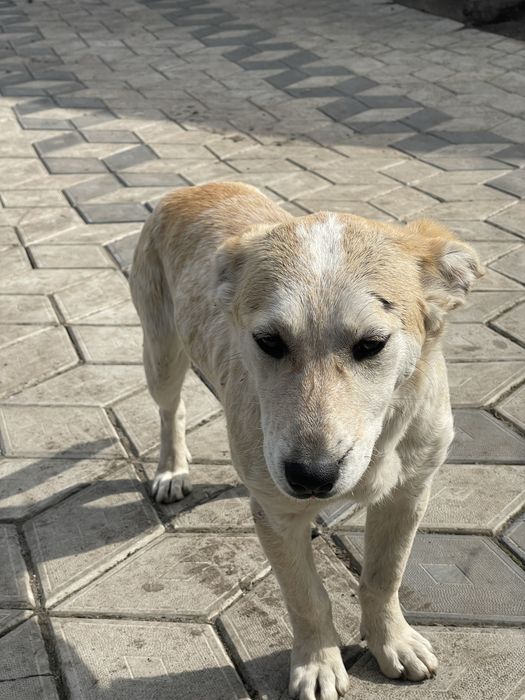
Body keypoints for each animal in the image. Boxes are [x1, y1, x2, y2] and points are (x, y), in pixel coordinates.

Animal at [130, 181, 483, 700]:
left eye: (372, 344)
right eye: (269, 341)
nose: (310, 477)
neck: (382, 443)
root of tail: (194, 188)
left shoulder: (410, 493)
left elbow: (385, 576)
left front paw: (393, 642)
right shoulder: (277, 516)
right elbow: (307, 597)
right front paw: (318, 663)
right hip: (161, 350)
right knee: (170, 408)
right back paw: (173, 468)